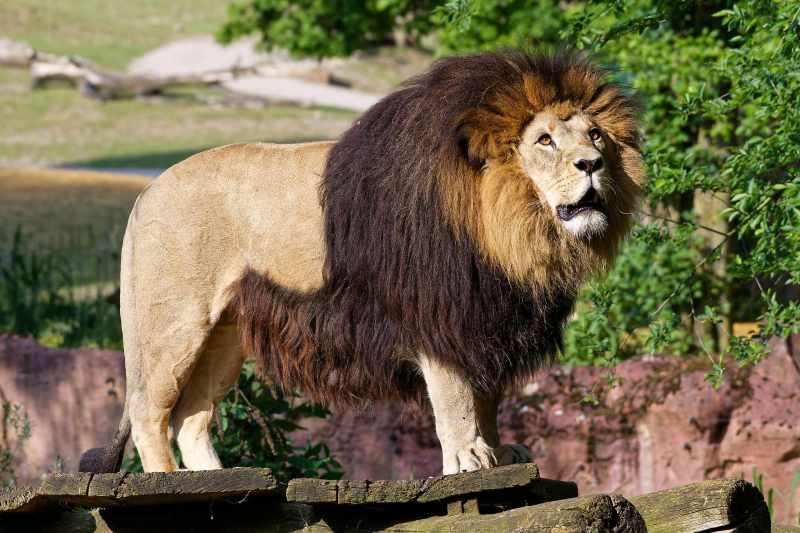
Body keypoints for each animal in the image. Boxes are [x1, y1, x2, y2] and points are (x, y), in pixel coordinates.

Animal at [80, 50, 643, 476]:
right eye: (544, 140)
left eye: (594, 135)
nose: (592, 165)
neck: (513, 230)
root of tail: (147, 192)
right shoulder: (436, 312)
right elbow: (456, 397)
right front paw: (469, 457)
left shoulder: (486, 315)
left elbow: (486, 397)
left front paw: (500, 452)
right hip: (174, 323)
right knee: (148, 413)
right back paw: (166, 484)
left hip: (225, 333)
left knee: (191, 417)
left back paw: (214, 480)